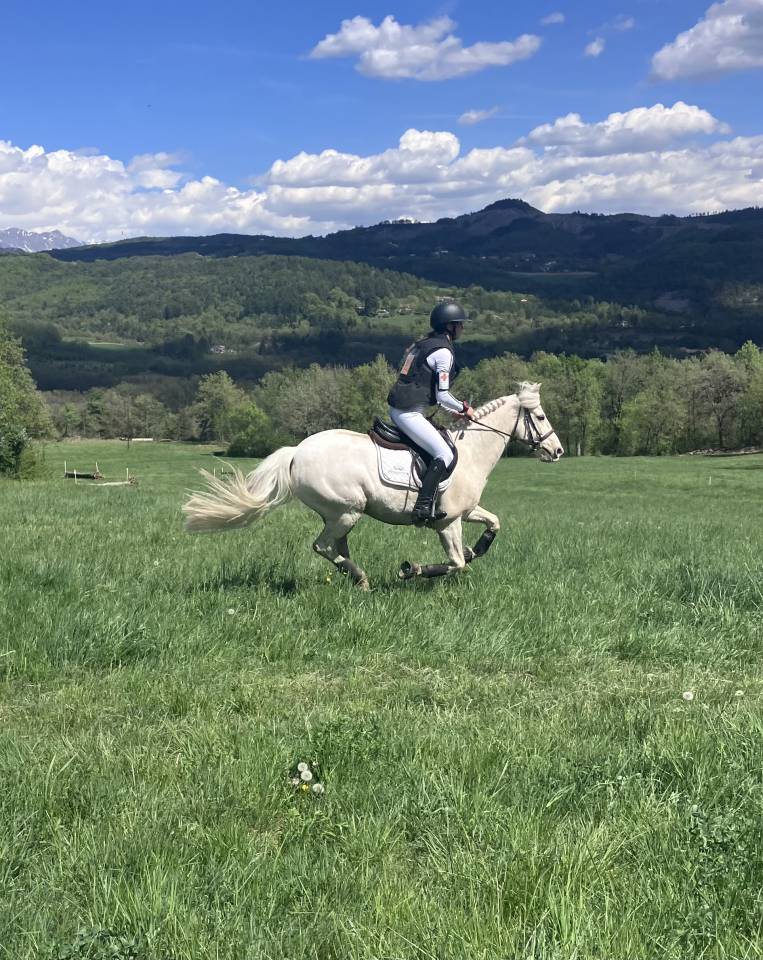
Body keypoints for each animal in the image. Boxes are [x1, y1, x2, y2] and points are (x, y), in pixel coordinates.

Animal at [183, 382, 563, 588]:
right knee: (323, 547)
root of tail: (296, 452)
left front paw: (475, 549)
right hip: (346, 511)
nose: (557, 451)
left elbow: (493, 525)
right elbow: (456, 563)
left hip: (340, 516)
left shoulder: (467, 512)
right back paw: (363, 578)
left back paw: (358, 579)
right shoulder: (448, 522)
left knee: (335, 548)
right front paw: (413, 570)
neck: (469, 452)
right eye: (540, 416)